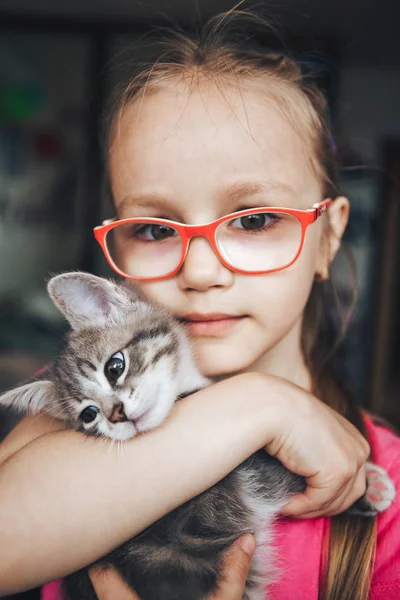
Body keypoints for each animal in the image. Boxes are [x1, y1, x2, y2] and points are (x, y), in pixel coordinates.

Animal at [0, 274, 394, 600]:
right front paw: (368, 484)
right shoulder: (246, 476)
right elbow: (283, 472)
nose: (116, 415)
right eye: (88, 415)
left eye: (115, 366)